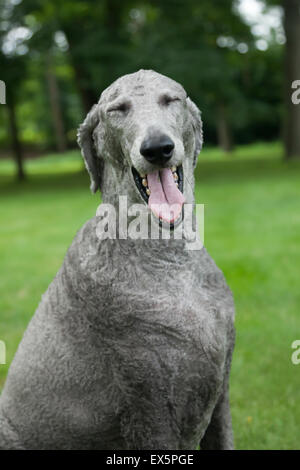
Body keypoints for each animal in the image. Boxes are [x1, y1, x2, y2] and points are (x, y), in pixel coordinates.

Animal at [0, 69, 234, 448]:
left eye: (171, 99)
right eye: (118, 110)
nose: (157, 148)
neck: (167, 255)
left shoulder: (221, 392)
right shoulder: (150, 403)